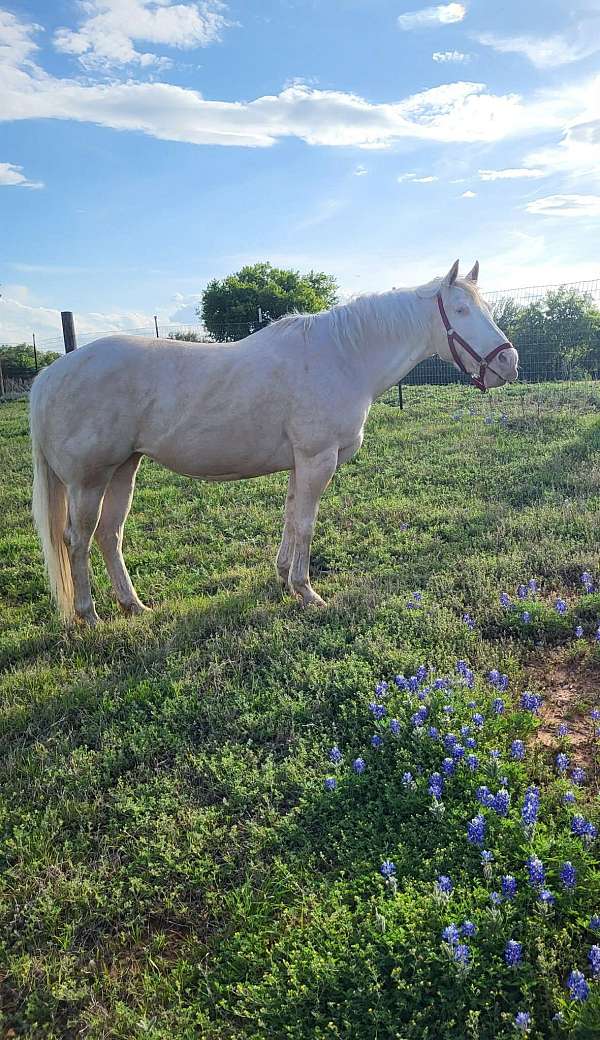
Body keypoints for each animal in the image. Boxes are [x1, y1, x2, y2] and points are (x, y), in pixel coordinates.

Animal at [30, 260, 518, 625]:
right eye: (460, 310)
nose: (509, 363)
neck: (344, 356)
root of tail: (51, 375)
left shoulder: (300, 463)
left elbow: (289, 518)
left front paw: (284, 578)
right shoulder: (318, 459)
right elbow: (306, 523)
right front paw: (307, 592)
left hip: (124, 469)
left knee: (109, 534)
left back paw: (134, 605)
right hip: (88, 481)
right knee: (77, 538)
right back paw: (89, 615)